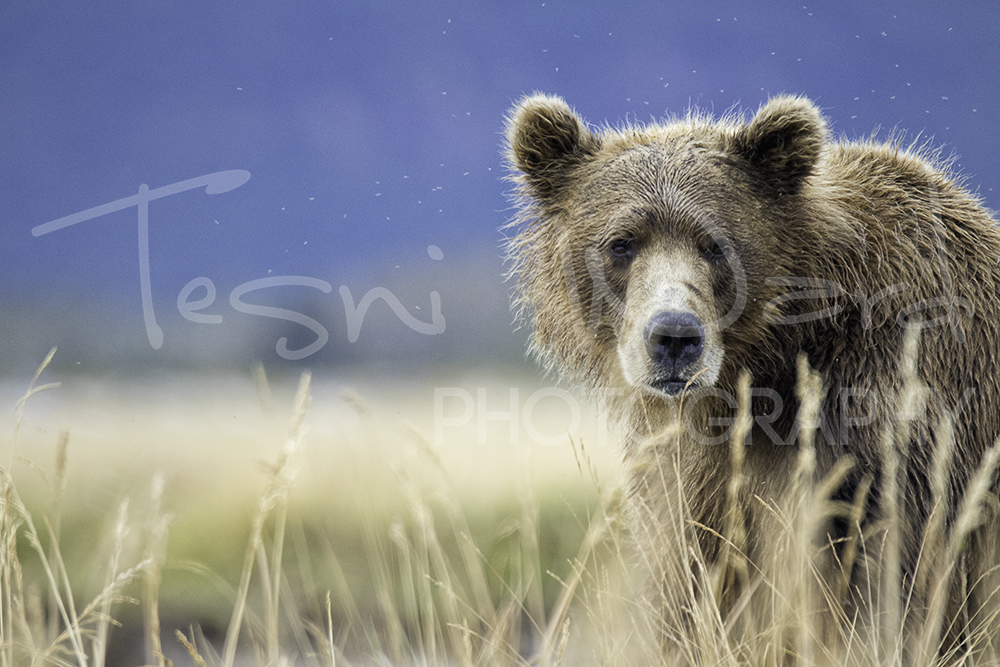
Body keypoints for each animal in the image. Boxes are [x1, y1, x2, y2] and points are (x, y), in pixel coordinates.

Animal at [503, 93, 1000, 662]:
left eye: (714, 244)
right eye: (621, 242)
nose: (675, 336)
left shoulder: (900, 417)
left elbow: (890, 584)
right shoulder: (694, 476)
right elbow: (695, 577)